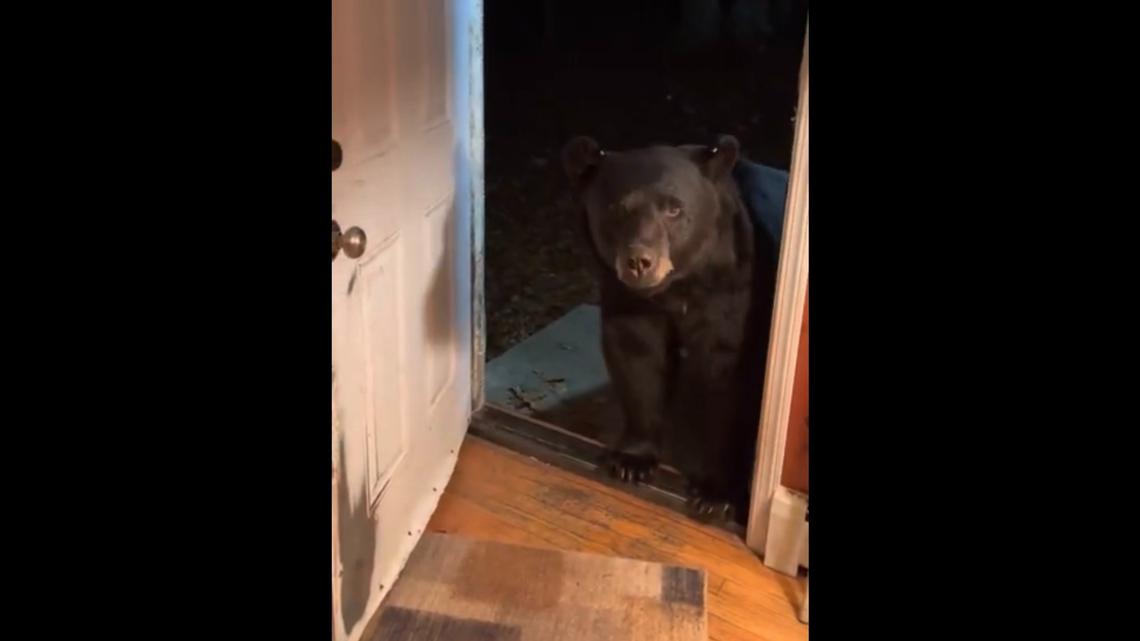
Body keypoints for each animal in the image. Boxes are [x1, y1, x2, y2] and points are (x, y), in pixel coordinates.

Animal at [561, 134, 777, 522]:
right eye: (617, 208)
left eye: (674, 209)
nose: (639, 261)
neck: (676, 289)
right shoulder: (627, 298)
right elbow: (638, 356)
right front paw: (631, 460)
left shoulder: (732, 292)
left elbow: (726, 376)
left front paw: (715, 493)